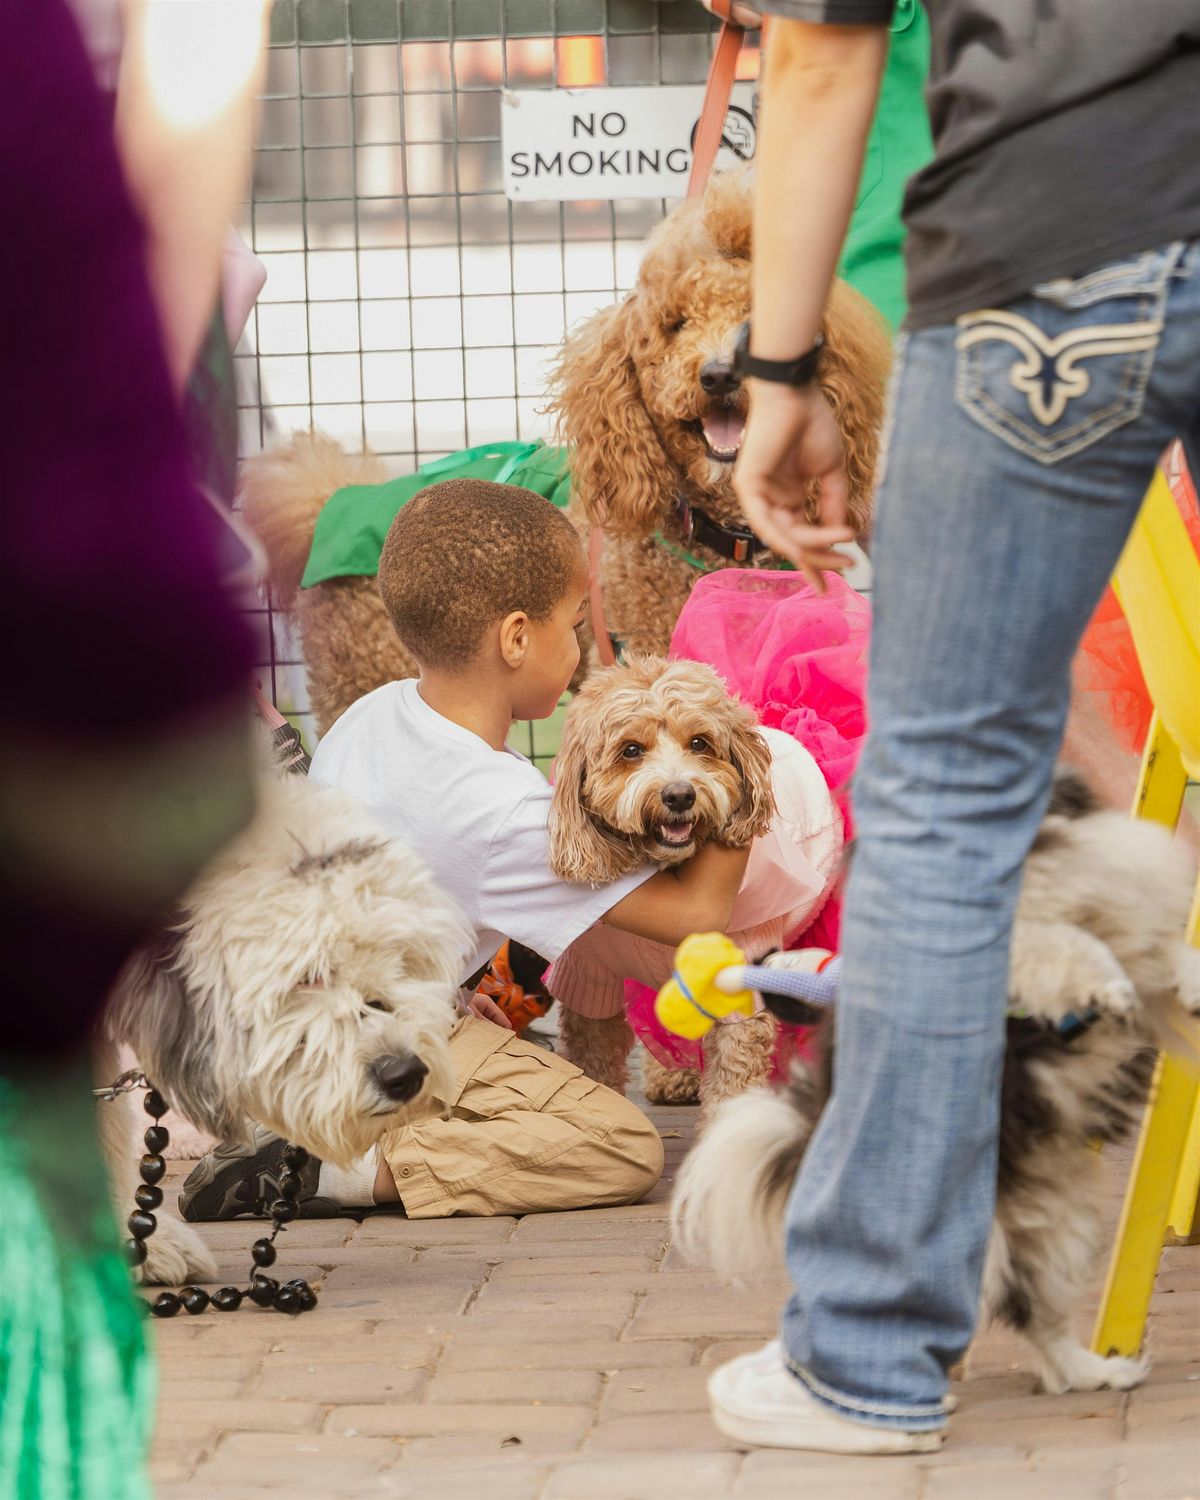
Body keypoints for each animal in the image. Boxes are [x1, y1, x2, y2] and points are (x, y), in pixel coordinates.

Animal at [543, 657, 846, 1116]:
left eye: (700, 743)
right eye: (631, 750)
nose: (679, 795)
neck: (670, 876)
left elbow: (733, 1084)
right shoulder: (588, 973)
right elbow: (593, 1060)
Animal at [675, 774, 1200, 1392]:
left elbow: (1161, 955)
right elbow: (1072, 947)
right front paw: (1107, 983)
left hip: (1059, 1226)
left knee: (1040, 1319)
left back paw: (1096, 1372)